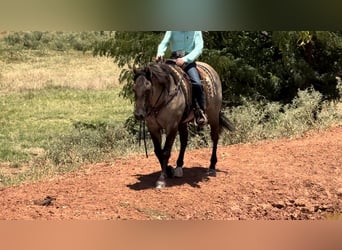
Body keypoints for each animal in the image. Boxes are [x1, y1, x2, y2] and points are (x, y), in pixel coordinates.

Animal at [132, 60, 234, 188]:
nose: (138, 115)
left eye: (148, 88)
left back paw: (212, 167)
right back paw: (179, 167)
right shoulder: (153, 127)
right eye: (134, 89)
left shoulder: (172, 126)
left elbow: (166, 152)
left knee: (215, 138)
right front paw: (169, 170)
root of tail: (211, 69)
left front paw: (161, 180)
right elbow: (158, 151)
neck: (164, 97)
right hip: (183, 122)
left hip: (213, 115)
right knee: (184, 141)